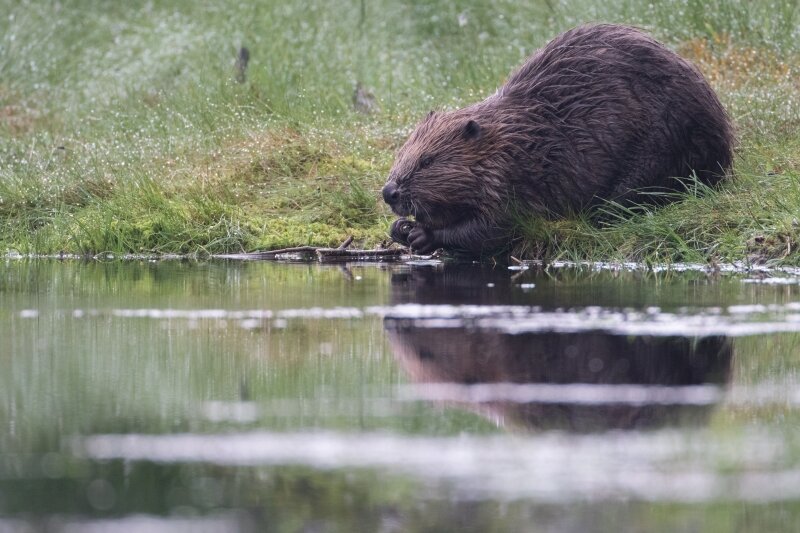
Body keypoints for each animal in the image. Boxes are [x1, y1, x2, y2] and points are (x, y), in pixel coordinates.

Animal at [382, 24, 735, 255]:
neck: (516, 137)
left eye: (427, 161)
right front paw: (401, 228)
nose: (389, 192)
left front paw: (422, 235)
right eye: (400, 156)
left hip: (660, 148)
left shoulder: (518, 178)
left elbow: (497, 227)